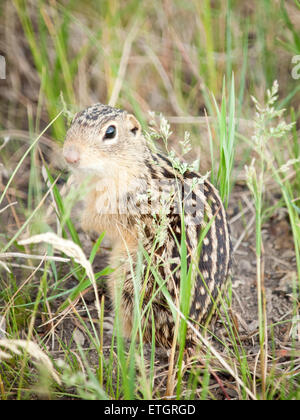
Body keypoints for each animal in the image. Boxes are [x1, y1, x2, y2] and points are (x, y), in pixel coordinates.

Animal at [63, 104, 232, 348]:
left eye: (110, 132)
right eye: (74, 119)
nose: (70, 156)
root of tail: (187, 331)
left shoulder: (125, 207)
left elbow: (100, 220)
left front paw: (84, 226)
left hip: (132, 277)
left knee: (139, 328)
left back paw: (112, 326)